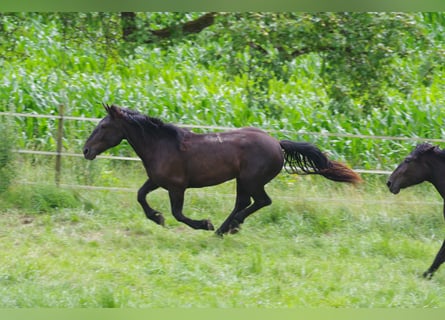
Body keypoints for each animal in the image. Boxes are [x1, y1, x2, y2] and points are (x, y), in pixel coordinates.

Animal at [83, 104, 360, 235]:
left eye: (104, 126)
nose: (86, 150)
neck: (161, 144)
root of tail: (278, 144)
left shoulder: (177, 186)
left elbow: (178, 214)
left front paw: (203, 223)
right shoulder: (156, 180)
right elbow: (140, 196)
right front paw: (157, 217)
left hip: (251, 180)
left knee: (260, 202)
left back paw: (225, 228)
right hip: (244, 181)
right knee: (245, 203)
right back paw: (226, 228)